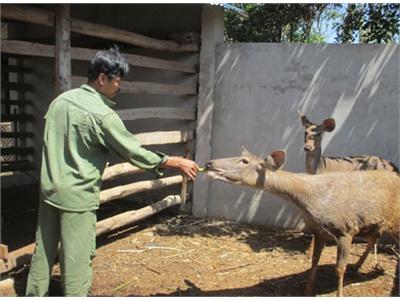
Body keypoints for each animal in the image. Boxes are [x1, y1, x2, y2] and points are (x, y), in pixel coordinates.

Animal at [206, 148, 400, 296]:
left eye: (244, 161)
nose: (209, 163)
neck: (311, 201)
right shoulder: (319, 230)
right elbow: (314, 260)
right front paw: (307, 289)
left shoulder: (345, 229)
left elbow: (339, 268)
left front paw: (339, 294)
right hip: (373, 223)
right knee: (374, 239)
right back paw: (359, 265)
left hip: (392, 221)